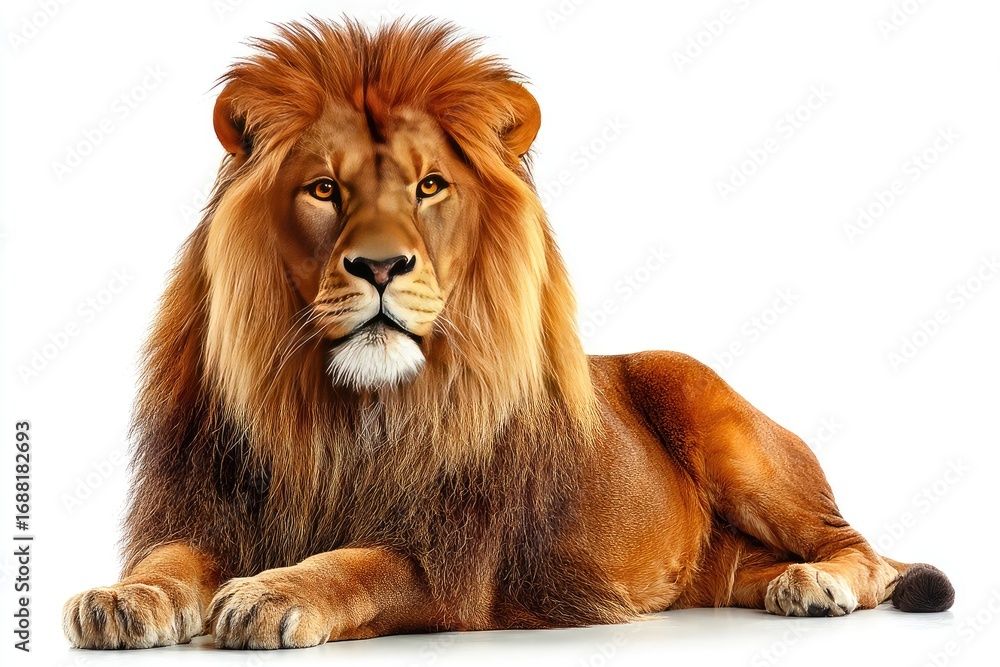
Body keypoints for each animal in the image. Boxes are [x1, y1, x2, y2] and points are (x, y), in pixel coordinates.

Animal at [62, 19, 953, 650]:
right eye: (323, 189)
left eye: (429, 186)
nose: (380, 266)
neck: (345, 410)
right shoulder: (213, 508)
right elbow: (169, 557)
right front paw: (121, 595)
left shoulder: (453, 563)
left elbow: (356, 564)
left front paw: (272, 591)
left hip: (710, 405)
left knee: (865, 550)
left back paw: (816, 584)